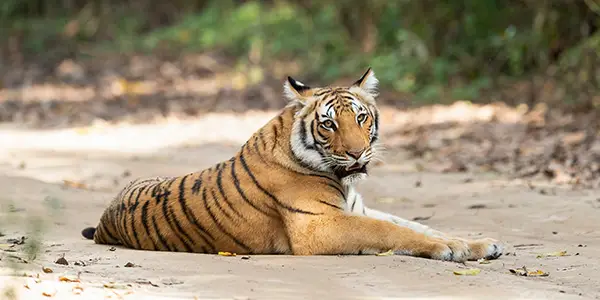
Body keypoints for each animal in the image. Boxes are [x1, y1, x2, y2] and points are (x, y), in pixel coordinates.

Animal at [79, 69, 502, 262]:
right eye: (329, 124)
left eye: (361, 117)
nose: (356, 154)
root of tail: (105, 216)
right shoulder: (319, 226)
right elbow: (391, 231)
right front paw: (449, 249)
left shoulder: (358, 209)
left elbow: (417, 225)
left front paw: (476, 243)